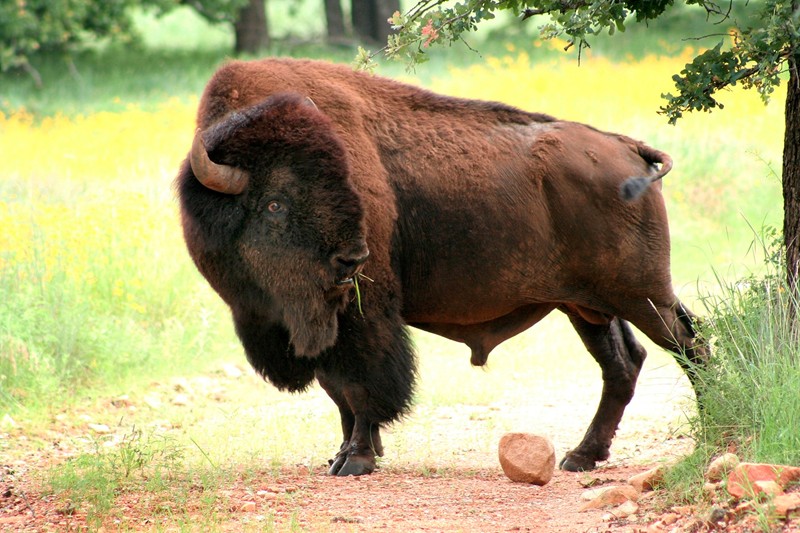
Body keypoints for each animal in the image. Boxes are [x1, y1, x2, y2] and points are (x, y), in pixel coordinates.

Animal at [177, 57, 708, 474]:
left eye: (345, 188)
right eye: (275, 204)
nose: (352, 258)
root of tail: (629, 149)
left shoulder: (362, 316)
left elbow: (363, 387)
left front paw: (356, 460)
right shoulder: (322, 321)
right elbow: (338, 391)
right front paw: (342, 454)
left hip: (642, 296)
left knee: (689, 344)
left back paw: (705, 434)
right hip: (589, 307)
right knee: (624, 363)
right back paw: (581, 456)